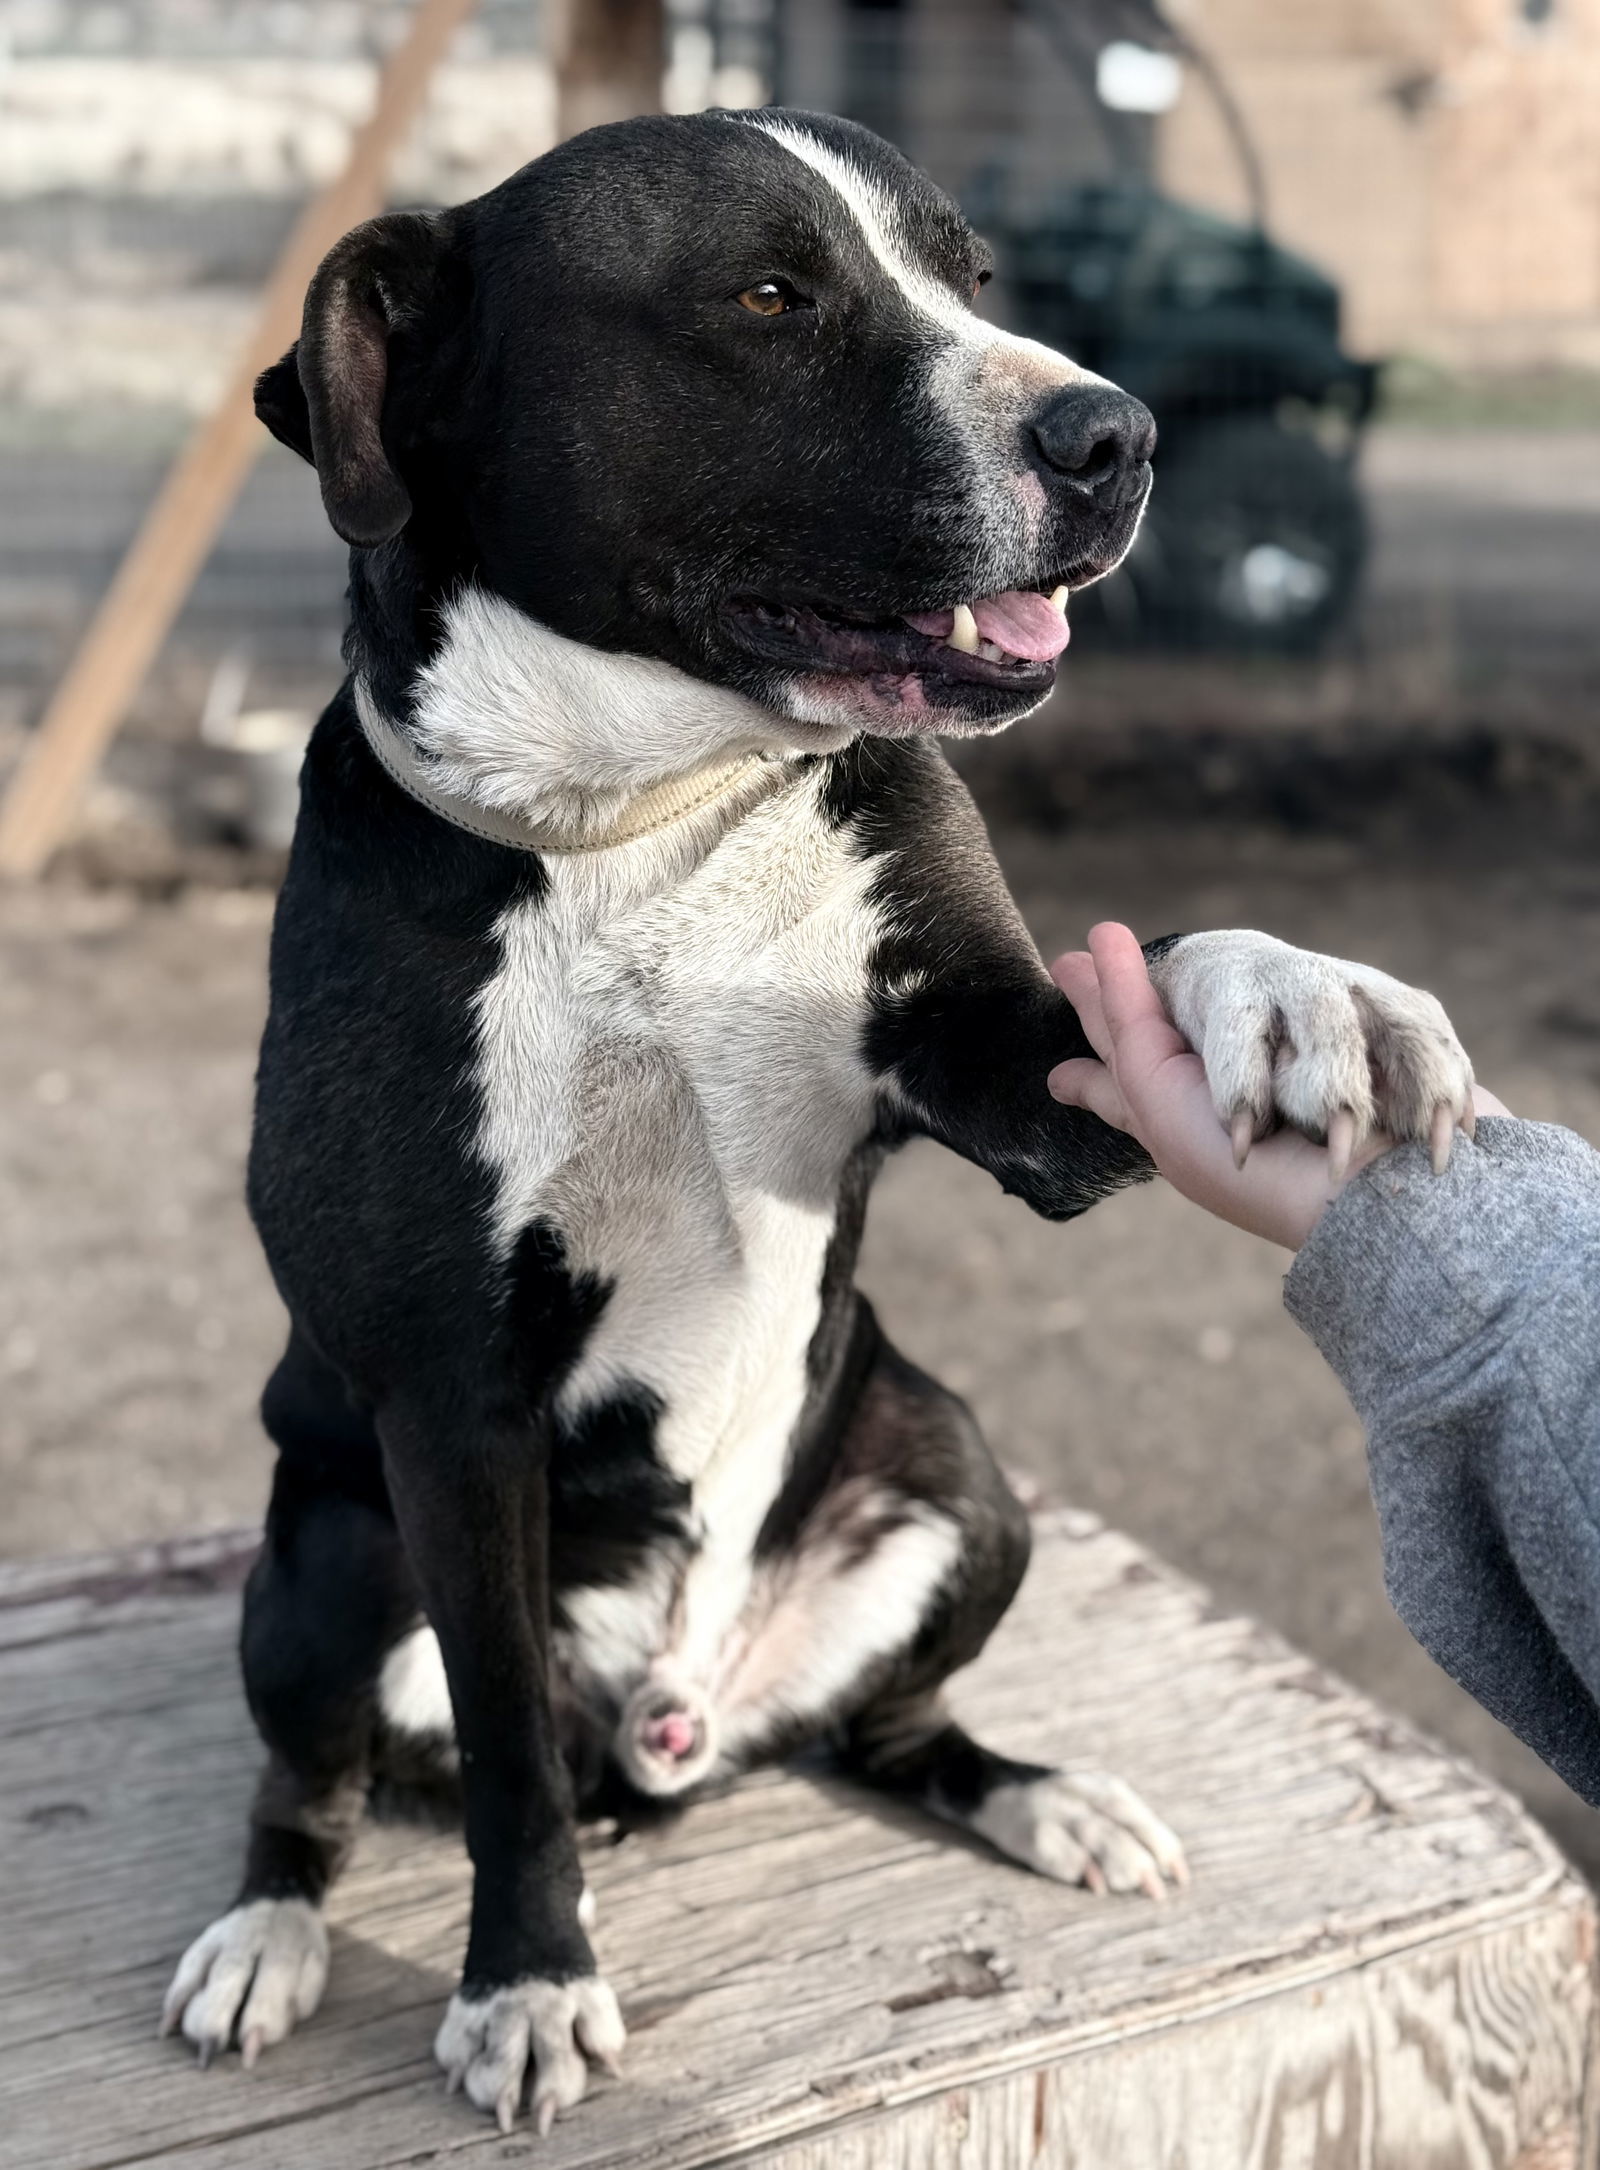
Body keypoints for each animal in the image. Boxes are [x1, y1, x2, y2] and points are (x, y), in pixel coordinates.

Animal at [162, 110, 1476, 2126]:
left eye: (974, 275)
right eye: (772, 296)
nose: (1117, 435)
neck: (643, 811)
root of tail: (676, 1720)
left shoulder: (1014, 1077)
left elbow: (1152, 966)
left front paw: (1304, 991)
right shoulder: (450, 1404)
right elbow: (505, 1763)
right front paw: (527, 1979)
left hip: (957, 1469)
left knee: (891, 1724)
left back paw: (1042, 1798)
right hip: (322, 1560)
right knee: (336, 1776)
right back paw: (267, 1930)